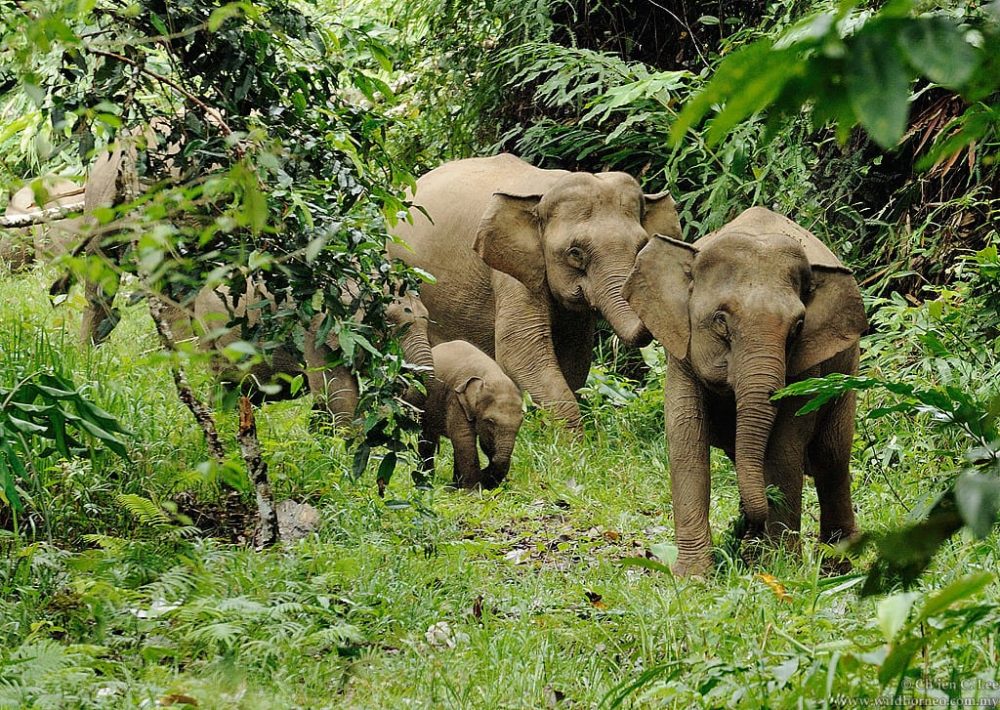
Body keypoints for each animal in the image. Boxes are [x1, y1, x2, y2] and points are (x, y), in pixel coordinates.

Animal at [386, 155, 684, 432]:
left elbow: (575, 351)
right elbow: (519, 349)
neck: (546, 190)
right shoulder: (510, 270)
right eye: (575, 253)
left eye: (641, 246)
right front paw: (572, 444)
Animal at [422, 340, 528, 490]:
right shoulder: (456, 399)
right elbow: (464, 438)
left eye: (520, 422)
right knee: (427, 440)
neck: (491, 375)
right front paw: (472, 491)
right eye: (490, 421)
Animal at [624, 207, 868, 580]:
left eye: (798, 327)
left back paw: (834, 567)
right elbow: (685, 438)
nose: (745, 527)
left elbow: (784, 447)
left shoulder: (808, 366)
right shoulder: (680, 353)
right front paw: (693, 575)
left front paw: (780, 566)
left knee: (831, 456)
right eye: (720, 321)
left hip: (846, 371)